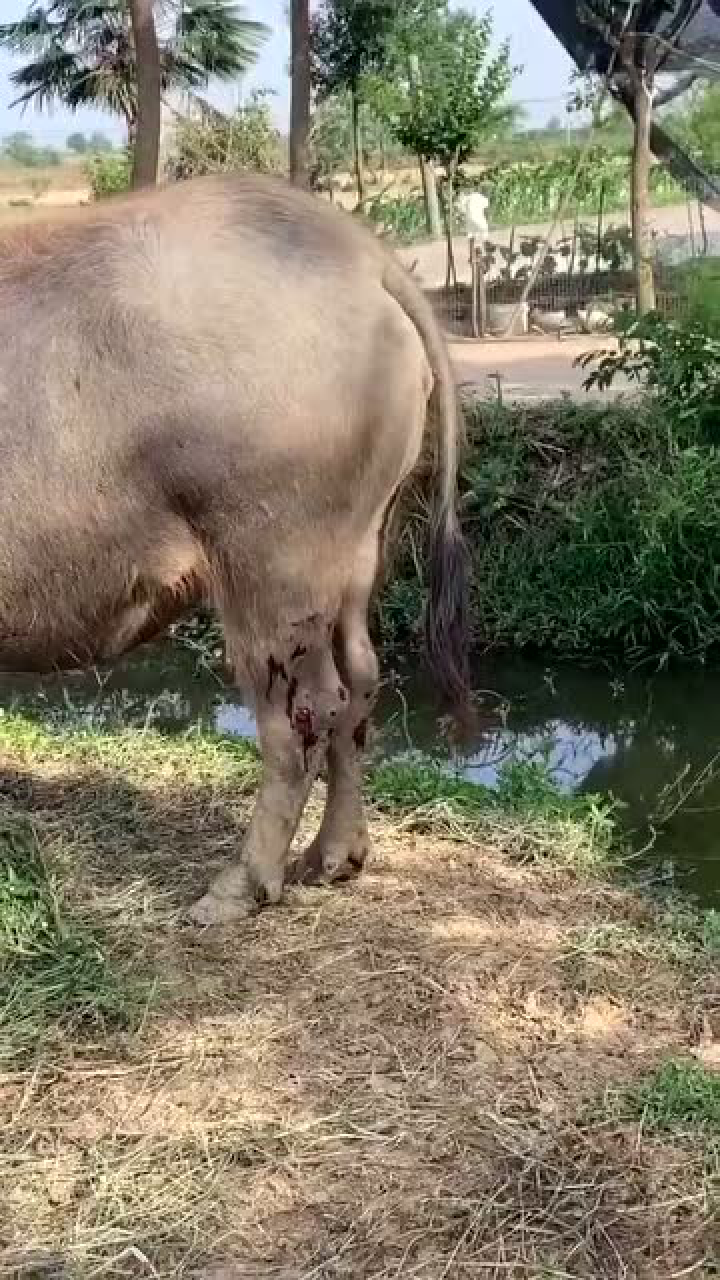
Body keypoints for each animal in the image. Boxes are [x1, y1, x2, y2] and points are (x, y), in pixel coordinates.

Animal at [0, 175, 468, 926]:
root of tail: (358, 252)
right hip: (355, 554)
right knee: (361, 682)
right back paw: (333, 859)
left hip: (272, 563)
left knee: (302, 717)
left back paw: (238, 888)